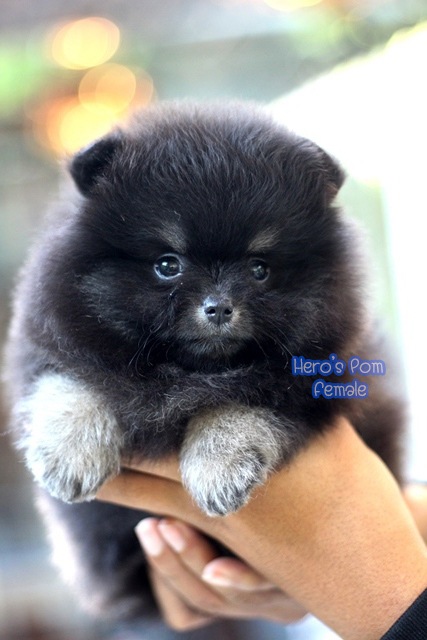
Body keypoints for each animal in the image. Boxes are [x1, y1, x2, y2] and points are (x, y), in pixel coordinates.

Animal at [3, 101, 404, 618]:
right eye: (167, 264)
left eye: (260, 269)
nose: (218, 307)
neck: (187, 374)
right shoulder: (49, 342)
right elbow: (67, 382)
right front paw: (69, 455)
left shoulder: (318, 380)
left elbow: (244, 404)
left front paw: (219, 465)